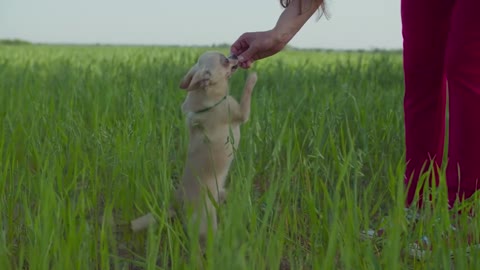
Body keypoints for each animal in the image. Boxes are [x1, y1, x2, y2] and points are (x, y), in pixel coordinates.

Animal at [177, 51, 258, 247]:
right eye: (224, 61)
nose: (234, 55)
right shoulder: (241, 113)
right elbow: (246, 92)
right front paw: (252, 77)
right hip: (207, 222)